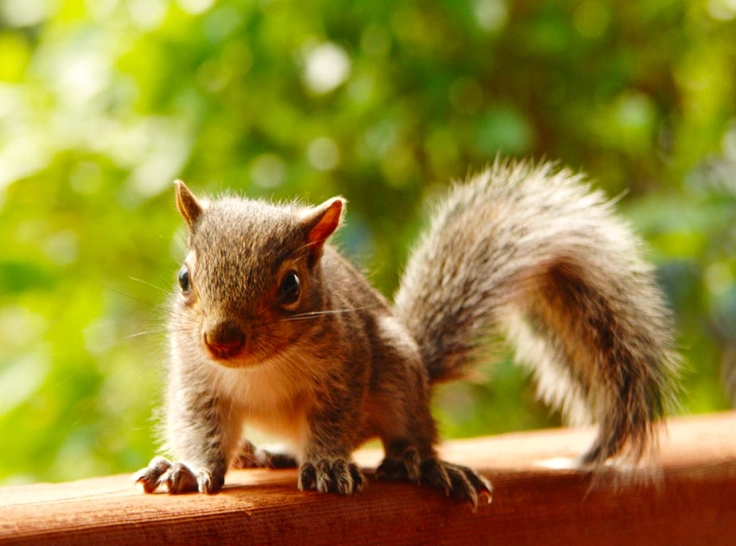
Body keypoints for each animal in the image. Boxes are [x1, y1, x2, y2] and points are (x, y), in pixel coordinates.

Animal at [135, 160, 680, 508]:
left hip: (397, 369)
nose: (222, 341)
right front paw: (190, 468)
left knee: (411, 435)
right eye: (184, 279)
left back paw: (420, 464)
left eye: (291, 286)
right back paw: (263, 453)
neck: (261, 366)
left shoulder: (346, 366)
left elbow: (332, 421)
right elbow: (201, 427)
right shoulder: (197, 380)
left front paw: (328, 464)